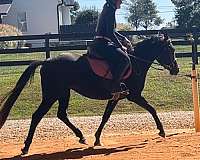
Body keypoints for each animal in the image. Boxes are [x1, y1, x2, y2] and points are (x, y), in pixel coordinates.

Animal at [0, 34, 178, 154]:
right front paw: (162, 131)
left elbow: (106, 116)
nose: (176, 69)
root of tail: (47, 61)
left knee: (61, 114)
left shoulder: (116, 97)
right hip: (51, 95)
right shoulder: (133, 96)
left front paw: (97, 138)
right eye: (171, 49)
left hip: (63, 93)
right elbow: (152, 109)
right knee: (37, 116)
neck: (135, 62)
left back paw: (81, 136)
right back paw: (26, 146)